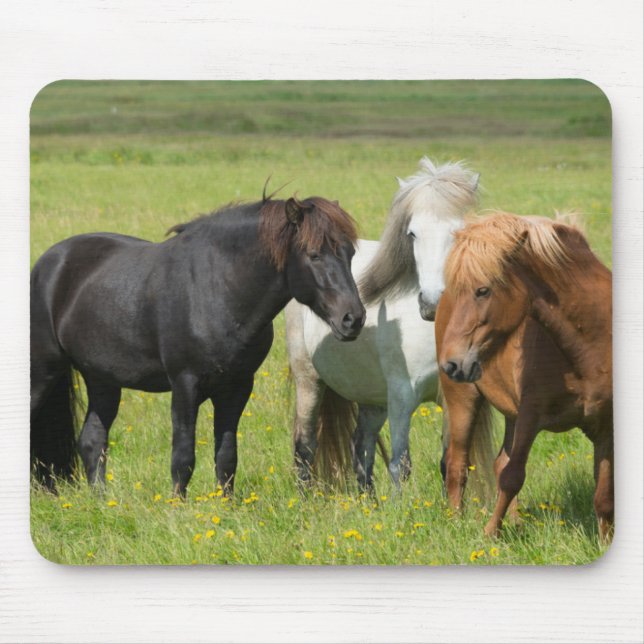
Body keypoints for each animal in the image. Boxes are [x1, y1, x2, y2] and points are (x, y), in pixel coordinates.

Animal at [31, 194, 365, 498]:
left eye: (350, 253)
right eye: (314, 254)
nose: (353, 318)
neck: (218, 289)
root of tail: (48, 264)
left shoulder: (237, 387)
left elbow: (227, 456)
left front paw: (226, 506)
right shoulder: (184, 384)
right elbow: (183, 457)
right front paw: (177, 508)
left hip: (102, 379)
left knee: (92, 440)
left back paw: (103, 502)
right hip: (43, 373)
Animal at [285, 158, 494, 491]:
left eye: (459, 232)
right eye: (412, 234)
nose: (432, 304)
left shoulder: (452, 397)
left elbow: (449, 463)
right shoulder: (401, 396)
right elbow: (400, 465)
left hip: (372, 397)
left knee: (361, 446)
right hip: (310, 381)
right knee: (304, 448)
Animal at [435, 212, 613, 541]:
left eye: (483, 290)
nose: (451, 364)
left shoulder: (606, 425)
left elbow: (604, 494)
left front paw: (605, 541)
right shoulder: (531, 415)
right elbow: (512, 476)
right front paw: (489, 534)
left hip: (511, 414)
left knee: (497, 462)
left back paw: (516, 522)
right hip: (463, 400)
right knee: (457, 463)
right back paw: (455, 522)